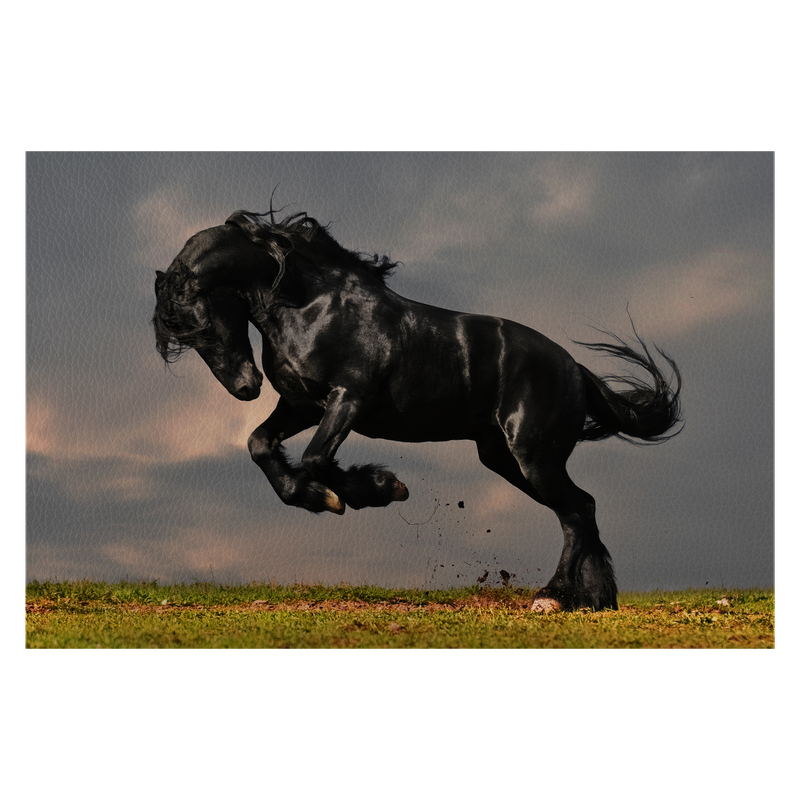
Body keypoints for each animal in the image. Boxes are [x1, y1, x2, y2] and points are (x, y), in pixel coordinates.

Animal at [155, 209, 680, 608]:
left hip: (534, 457)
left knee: (575, 511)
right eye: (183, 335)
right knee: (582, 508)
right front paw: (319, 497)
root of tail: (575, 369)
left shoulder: (348, 399)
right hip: (504, 458)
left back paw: (553, 597)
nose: (245, 388)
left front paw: (377, 489)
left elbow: (316, 458)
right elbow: (261, 445)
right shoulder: (302, 403)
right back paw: (594, 599)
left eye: (200, 323)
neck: (311, 305)